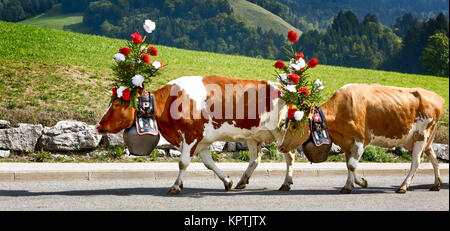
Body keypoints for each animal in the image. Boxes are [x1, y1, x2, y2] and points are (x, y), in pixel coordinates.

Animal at [96, 75, 292, 194]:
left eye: (117, 105)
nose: (98, 126)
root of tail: (283, 87)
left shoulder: (191, 136)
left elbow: (183, 162)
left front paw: (176, 186)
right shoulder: (201, 140)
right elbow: (208, 163)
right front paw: (227, 181)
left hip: (282, 131)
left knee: (289, 156)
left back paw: (286, 183)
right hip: (253, 136)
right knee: (255, 158)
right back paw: (242, 181)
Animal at [280, 83, 444, 193]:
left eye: (294, 126)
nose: (281, 147)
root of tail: (438, 97)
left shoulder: (361, 139)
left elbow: (352, 164)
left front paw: (362, 183)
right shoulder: (346, 142)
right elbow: (348, 165)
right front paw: (348, 186)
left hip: (421, 135)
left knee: (416, 162)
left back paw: (403, 186)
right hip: (423, 139)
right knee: (434, 158)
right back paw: (436, 184)